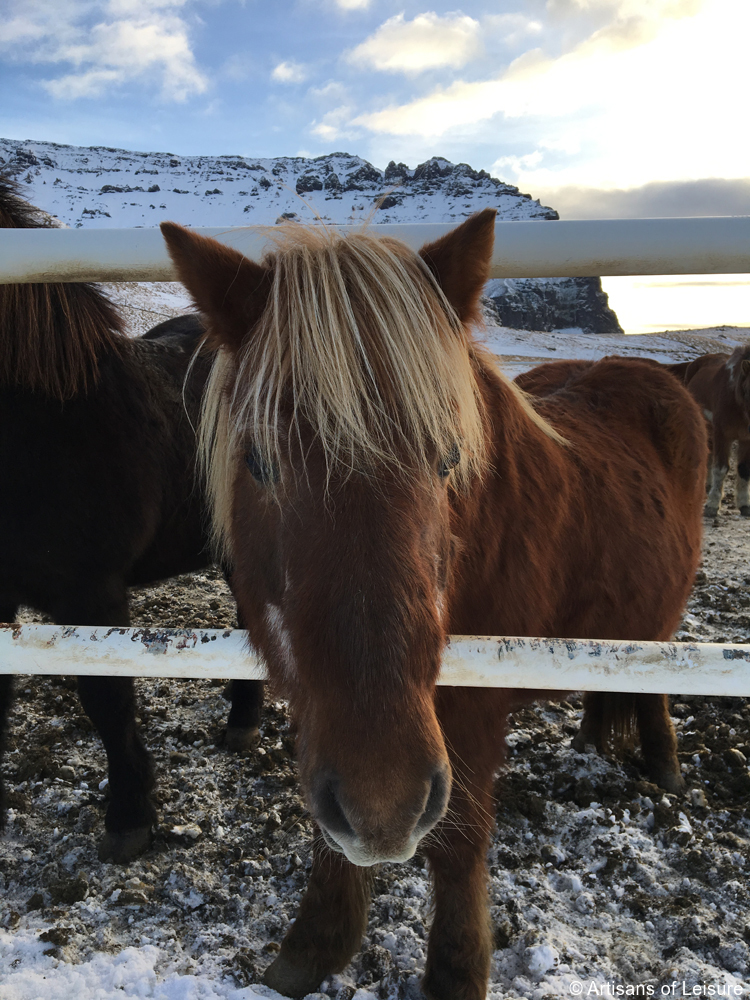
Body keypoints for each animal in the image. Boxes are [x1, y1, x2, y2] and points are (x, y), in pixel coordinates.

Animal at [162, 213, 708, 1000]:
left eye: (448, 460)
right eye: (259, 462)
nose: (383, 806)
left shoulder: (472, 709)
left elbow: (460, 841)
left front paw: (455, 971)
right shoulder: (321, 709)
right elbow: (328, 823)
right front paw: (314, 945)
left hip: (661, 626)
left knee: (655, 688)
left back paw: (663, 767)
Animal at [668, 346, 750, 516]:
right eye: (747, 389)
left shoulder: (746, 438)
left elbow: (744, 469)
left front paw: (744, 504)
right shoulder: (722, 435)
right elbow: (721, 469)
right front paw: (712, 505)